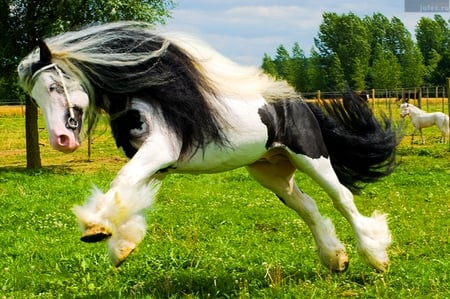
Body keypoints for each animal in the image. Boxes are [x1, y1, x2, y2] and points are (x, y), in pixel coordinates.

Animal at [18, 22, 398, 274]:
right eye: (34, 95)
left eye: (53, 86)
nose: (61, 140)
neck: (144, 93)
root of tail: (300, 104)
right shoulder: (154, 163)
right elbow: (130, 195)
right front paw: (122, 246)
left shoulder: (160, 151)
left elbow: (121, 183)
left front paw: (96, 228)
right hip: (271, 171)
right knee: (306, 207)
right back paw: (337, 259)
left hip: (311, 158)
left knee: (342, 199)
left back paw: (376, 257)